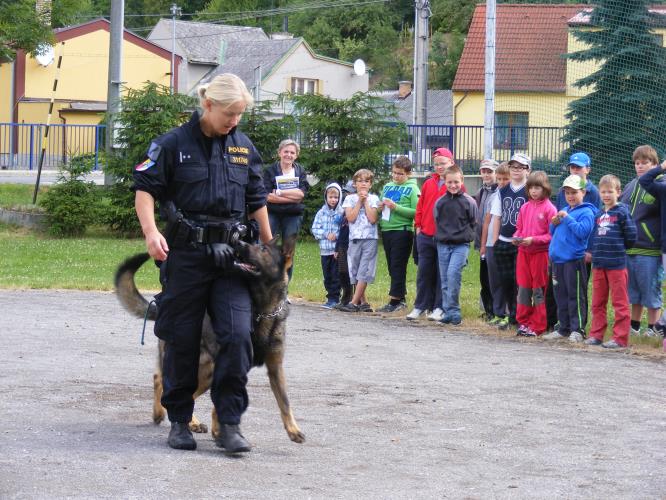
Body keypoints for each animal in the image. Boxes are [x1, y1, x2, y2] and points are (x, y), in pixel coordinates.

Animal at [113, 236, 304, 444]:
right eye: (257, 246)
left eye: (263, 249)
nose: (238, 243)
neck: (262, 309)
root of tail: (162, 306)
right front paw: (221, 431)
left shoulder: (274, 367)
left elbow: (284, 402)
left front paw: (293, 430)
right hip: (204, 367)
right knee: (167, 384)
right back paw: (167, 415)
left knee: (175, 387)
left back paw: (187, 421)